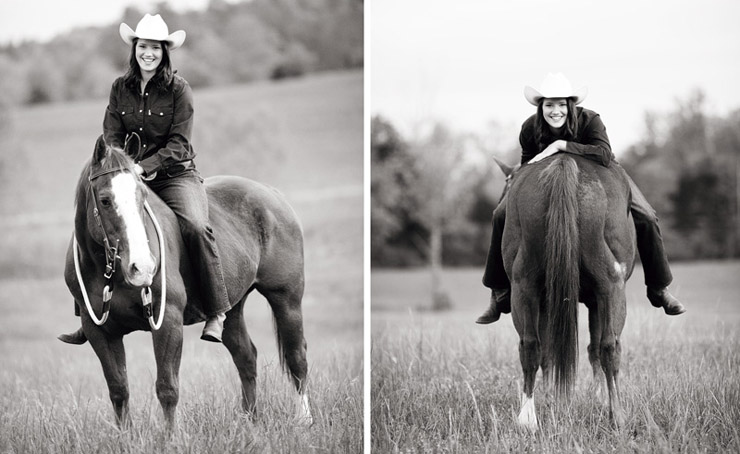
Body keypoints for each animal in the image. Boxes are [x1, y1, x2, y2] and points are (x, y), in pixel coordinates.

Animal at [60, 136, 310, 430]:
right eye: (105, 200)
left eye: (142, 196)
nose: (143, 268)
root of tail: (272, 194)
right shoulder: (99, 331)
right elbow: (119, 390)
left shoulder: (167, 321)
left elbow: (167, 388)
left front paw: (171, 437)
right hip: (232, 309)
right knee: (246, 358)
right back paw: (250, 420)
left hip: (286, 299)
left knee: (297, 358)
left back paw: (305, 420)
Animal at [500, 153, 632, 430]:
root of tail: (565, 164)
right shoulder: (596, 300)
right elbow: (595, 348)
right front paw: (598, 399)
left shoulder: (546, 300)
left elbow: (548, 351)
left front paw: (552, 398)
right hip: (611, 288)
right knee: (610, 347)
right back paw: (617, 415)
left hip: (524, 286)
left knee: (530, 346)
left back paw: (527, 418)